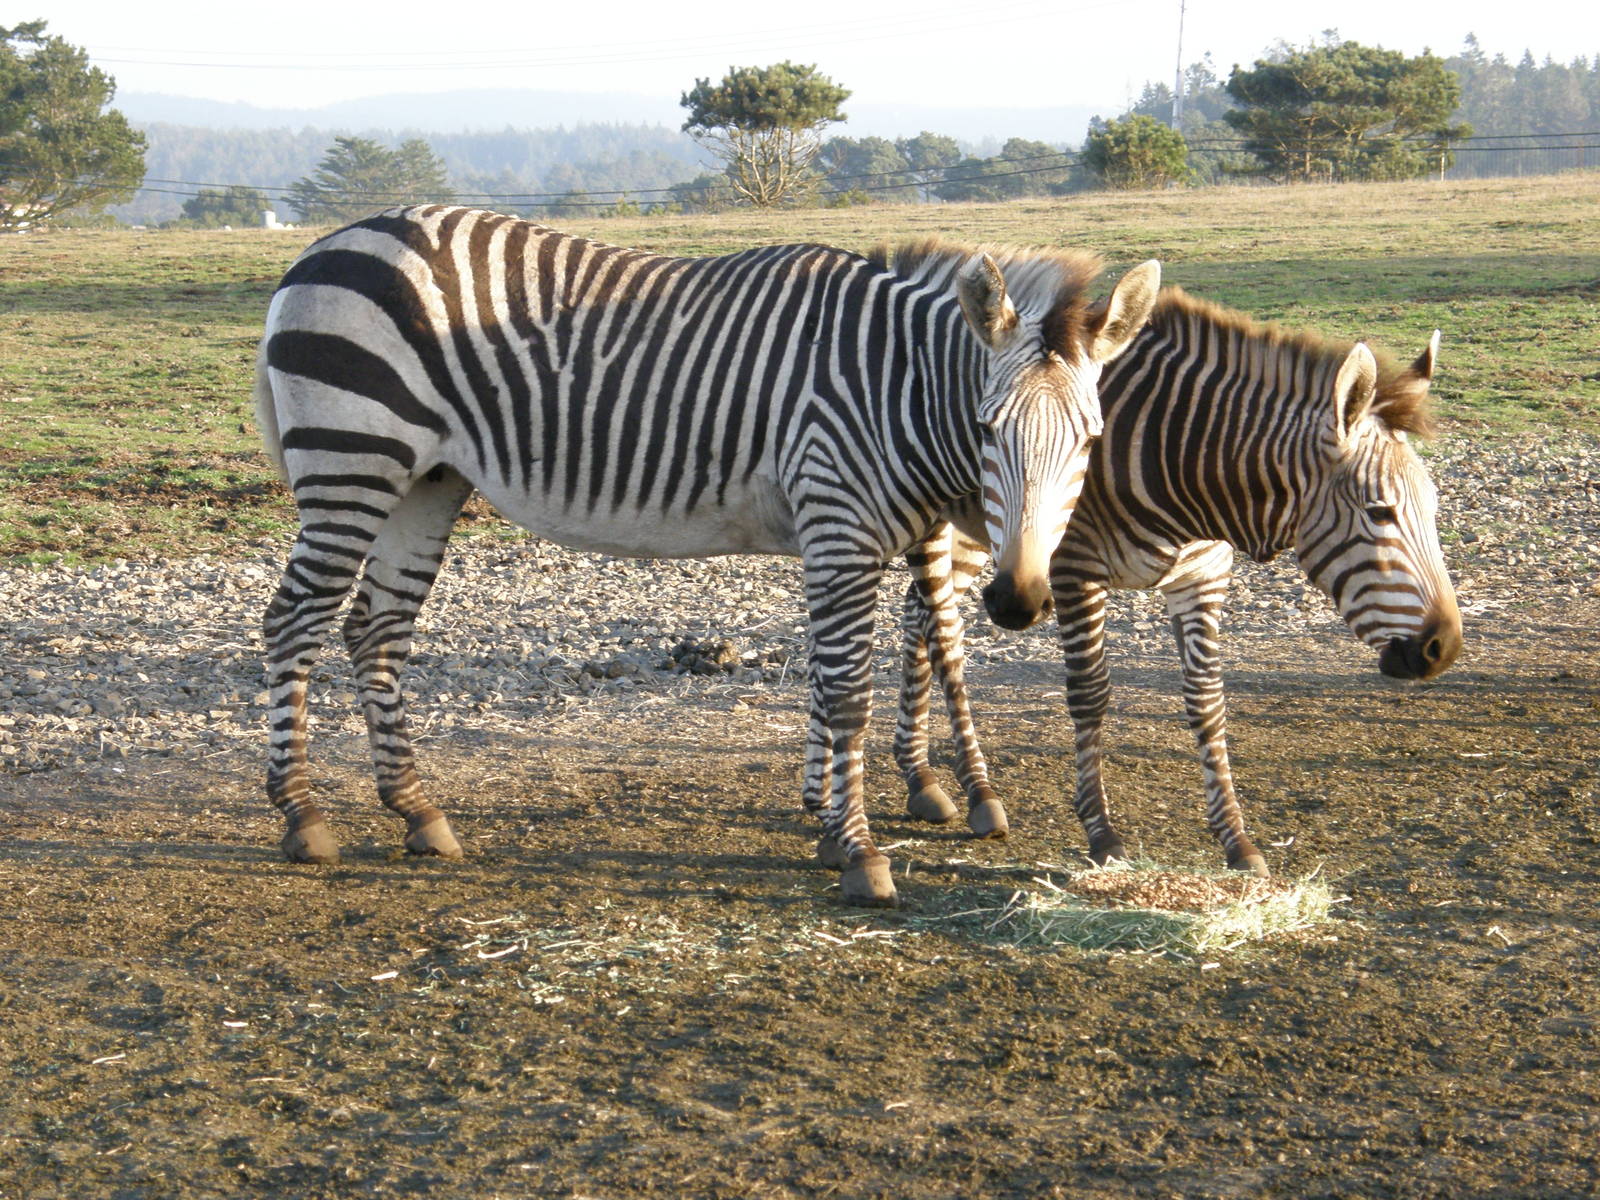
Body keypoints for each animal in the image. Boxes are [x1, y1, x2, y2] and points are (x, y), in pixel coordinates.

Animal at [254, 205, 1161, 907]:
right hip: (352, 457)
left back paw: (416, 812)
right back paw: (302, 819)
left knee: (375, 630)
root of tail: (324, 245)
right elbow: (854, 689)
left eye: (1091, 440)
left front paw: (843, 822)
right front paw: (863, 853)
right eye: (985, 429)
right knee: (293, 621)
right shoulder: (840, 522)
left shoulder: (859, 534)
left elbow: (857, 672)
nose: (1018, 602)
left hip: (426, 479)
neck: (893, 388)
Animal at [888, 286, 1462, 875]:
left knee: (919, 612)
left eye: (1433, 506)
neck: (1182, 459)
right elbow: (1090, 693)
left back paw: (922, 777)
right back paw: (967, 789)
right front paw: (1102, 832)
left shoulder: (1203, 576)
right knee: (937, 621)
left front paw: (1236, 839)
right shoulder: (1071, 569)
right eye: (1380, 512)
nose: (1443, 647)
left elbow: (1207, 700)